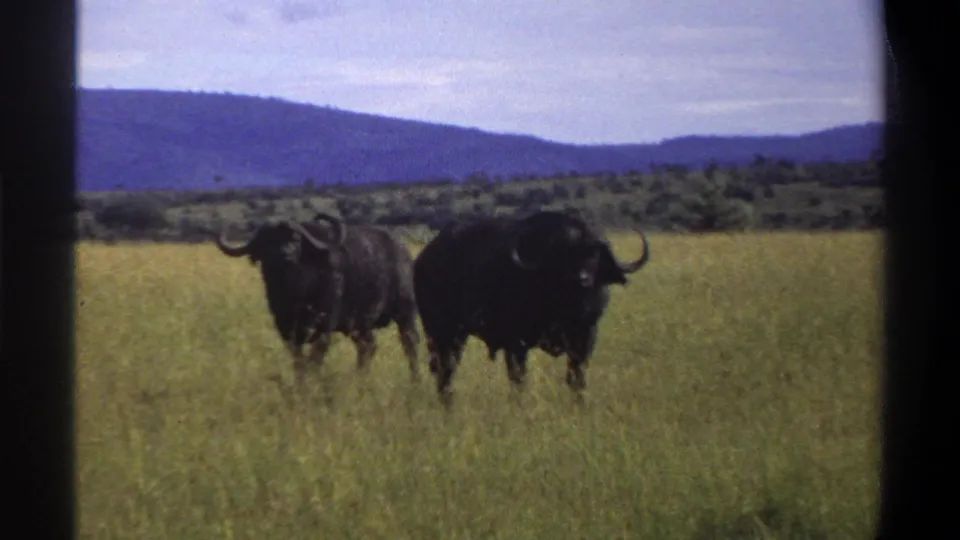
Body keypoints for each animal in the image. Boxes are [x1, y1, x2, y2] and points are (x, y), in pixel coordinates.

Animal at [215, 213, 421, 387]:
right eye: (268, 242)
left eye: (296, 239)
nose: (285, 255)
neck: (295, 292)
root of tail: (404, 253)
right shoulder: (286, 328)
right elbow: (298, 360)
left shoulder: (325, 325)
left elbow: (315, 358)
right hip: (358, 324)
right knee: (368, 345)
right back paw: (361, 379)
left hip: (405, 312)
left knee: (410, 344)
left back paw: (415, 381)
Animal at [413, 210, 650, 403]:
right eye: (563, 254)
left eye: (593, 255)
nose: (581, 279)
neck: (568, 305)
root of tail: (424, 259)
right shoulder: (515, 342)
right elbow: (518, 378)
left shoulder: (586, 336)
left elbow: (578, 377)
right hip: (443, 333)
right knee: (446, 370)